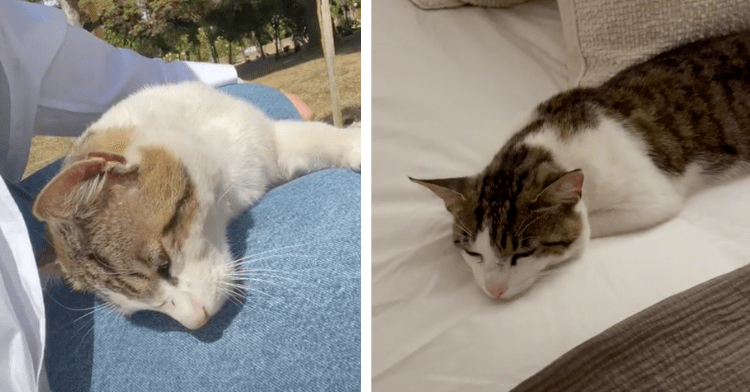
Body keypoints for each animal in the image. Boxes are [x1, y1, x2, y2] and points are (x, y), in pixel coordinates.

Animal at [33, 83, 362, 330]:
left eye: (163, 266)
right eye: (141, 309)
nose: (196, 321)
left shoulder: (257, 138)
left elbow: (311, 136)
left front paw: (354, 141)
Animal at [412, 31, 750, 300]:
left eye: (523, 253)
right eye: (473, 253)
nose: (494, 291)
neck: (549, 142)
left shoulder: (654, 198)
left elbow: (588, 225)